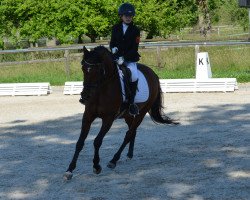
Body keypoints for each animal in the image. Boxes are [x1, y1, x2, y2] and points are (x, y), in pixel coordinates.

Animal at [63, 45, 179, 180]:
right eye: (83, 69)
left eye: (98, 70)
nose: (85, 97)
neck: (101, 90)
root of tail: (153, 74)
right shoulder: (88, 116)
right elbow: (79, 142)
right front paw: (70, 170)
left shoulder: (108, 119)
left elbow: (97, 141)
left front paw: (96, 166)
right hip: (128, 115)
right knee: (132, 132)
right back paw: (129, 154)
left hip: (141, 113)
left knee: (129, 134)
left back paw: (114, 160)